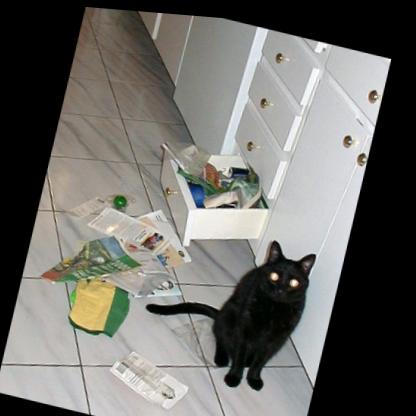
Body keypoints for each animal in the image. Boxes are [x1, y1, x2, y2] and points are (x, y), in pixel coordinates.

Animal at [146, 241, 316, 391]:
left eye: (294, 283)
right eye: (274, 276)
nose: (280, 290)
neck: (274, 308)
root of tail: (220, 312)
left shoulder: (275, 341)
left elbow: (260, 361)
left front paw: (254, 378)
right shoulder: (244, 330)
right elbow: (239, 356)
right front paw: (234, 377)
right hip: (230, 315)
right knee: (220, 334)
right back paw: (222, 358)